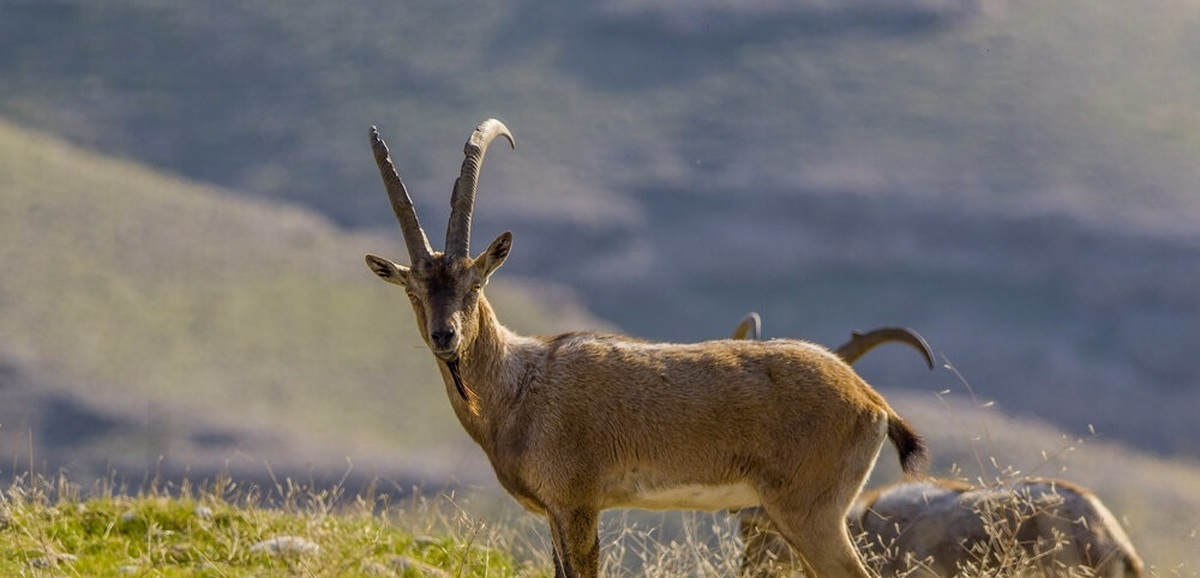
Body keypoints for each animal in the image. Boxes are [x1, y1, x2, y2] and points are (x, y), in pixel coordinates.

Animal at [360, 118, 921, 578]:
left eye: (475, 284)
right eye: (413, 291)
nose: (445, 337)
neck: (519, 390)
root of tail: (873, 402)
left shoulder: (579, 505)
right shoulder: (555, 515)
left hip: (811, 513)